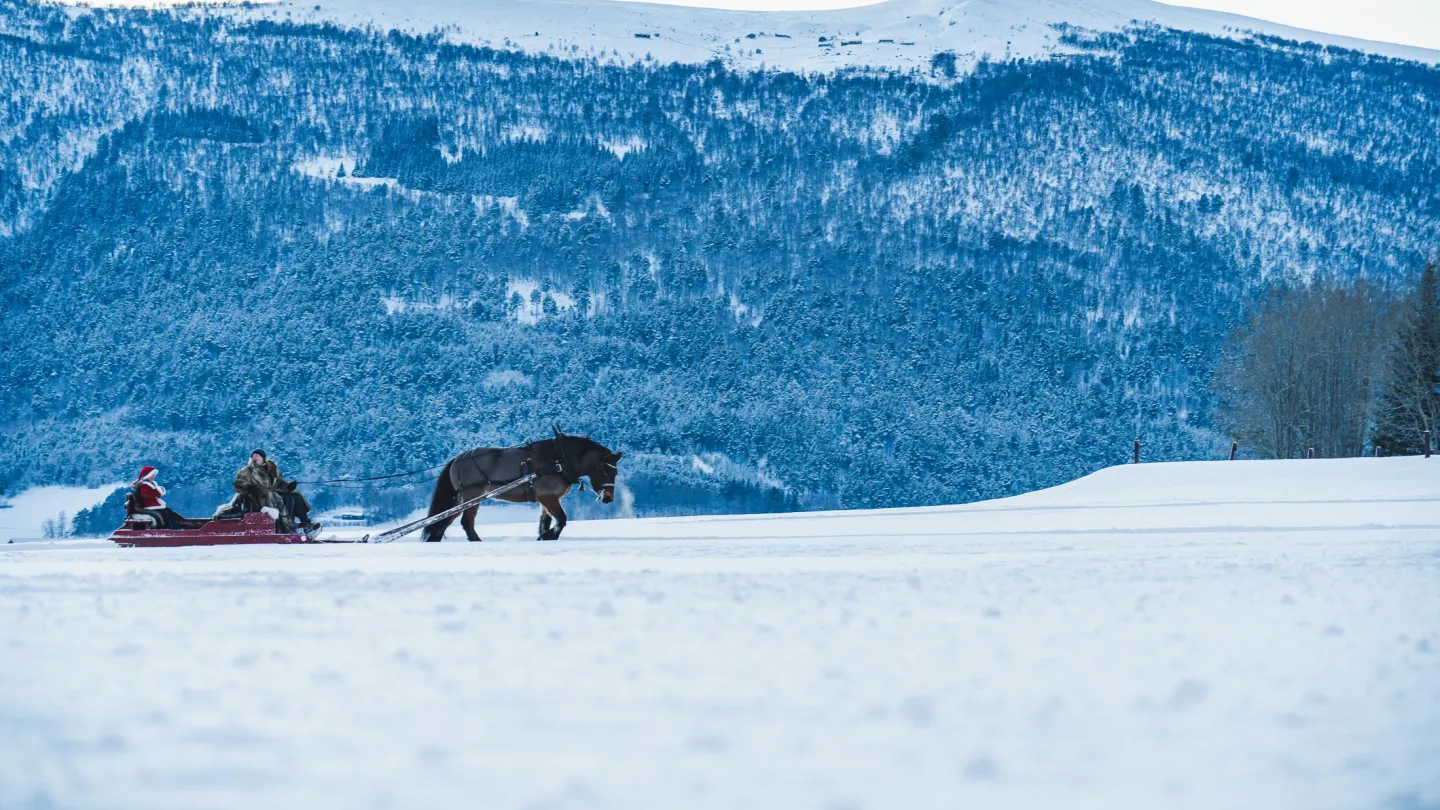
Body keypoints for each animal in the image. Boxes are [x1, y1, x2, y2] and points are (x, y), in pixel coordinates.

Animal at [417, 426, 619, 539]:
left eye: (615, 472)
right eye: (605, 469)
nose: (608, 497)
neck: (558, 459)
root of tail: (457, 459)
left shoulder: (546, 500)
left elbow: (545, 522)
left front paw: (544, 536)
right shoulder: (548, 498)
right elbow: (561, 520)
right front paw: (549, 536)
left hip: (460, 499)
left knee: (442, 523)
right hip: (471, 496)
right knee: (466, 523)